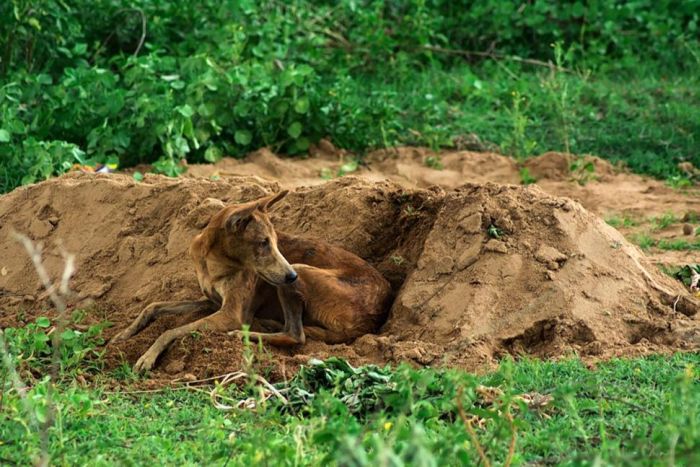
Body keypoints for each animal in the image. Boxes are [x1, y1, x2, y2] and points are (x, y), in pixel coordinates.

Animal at [112, 190, 392, 372]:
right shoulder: (211, 302)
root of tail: (377, 314)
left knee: (296, 336)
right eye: (263, 243)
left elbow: (171, 330)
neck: (213, 262)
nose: (291, 277)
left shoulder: (230, 314)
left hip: (300, 271)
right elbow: (153, 306)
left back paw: (245, 333)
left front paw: (147, 357)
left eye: (275, 242)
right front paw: (123, 334)